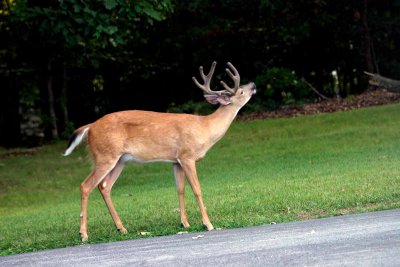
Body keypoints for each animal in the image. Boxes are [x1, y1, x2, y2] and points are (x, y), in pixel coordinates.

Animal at [63, 61, 256, 242]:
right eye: (240, 91)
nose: (253, 84)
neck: (205, 128)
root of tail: (90, 127)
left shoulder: (176, 161)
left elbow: (180, 189)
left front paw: (185, 223)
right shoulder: (187, 155)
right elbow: (197, 189)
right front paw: (207, 224)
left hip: (119, 160)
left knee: (104, 187)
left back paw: (121, 228)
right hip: (104, 155)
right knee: (86, 186)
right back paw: (84, 234)